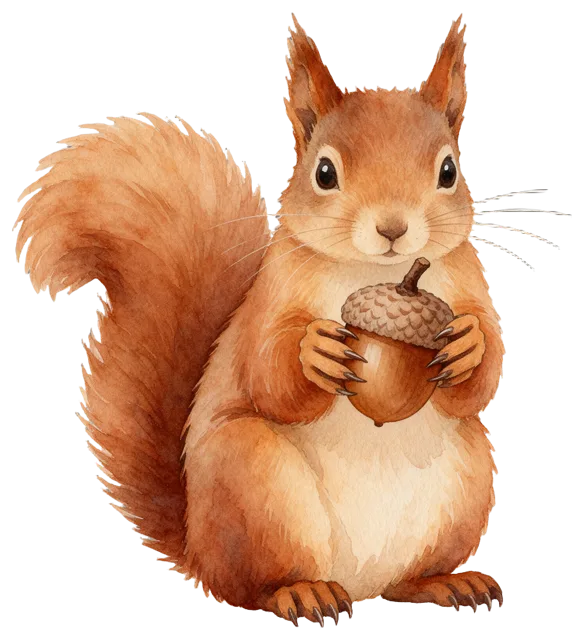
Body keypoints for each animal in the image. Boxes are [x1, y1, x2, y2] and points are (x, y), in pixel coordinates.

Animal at [15, 14, 504, 624]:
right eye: (324, 172)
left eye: (449, 170)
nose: (393, 228)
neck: (378, 273)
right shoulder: (269, 298)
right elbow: (267, 371)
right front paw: (313, 351)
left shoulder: (469, 284)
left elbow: (486, 375)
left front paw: (469, 345)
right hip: (253, 483)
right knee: (249, 587)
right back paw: (301, 593)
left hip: (469, 477)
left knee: (403, 580)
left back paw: (444, 582)